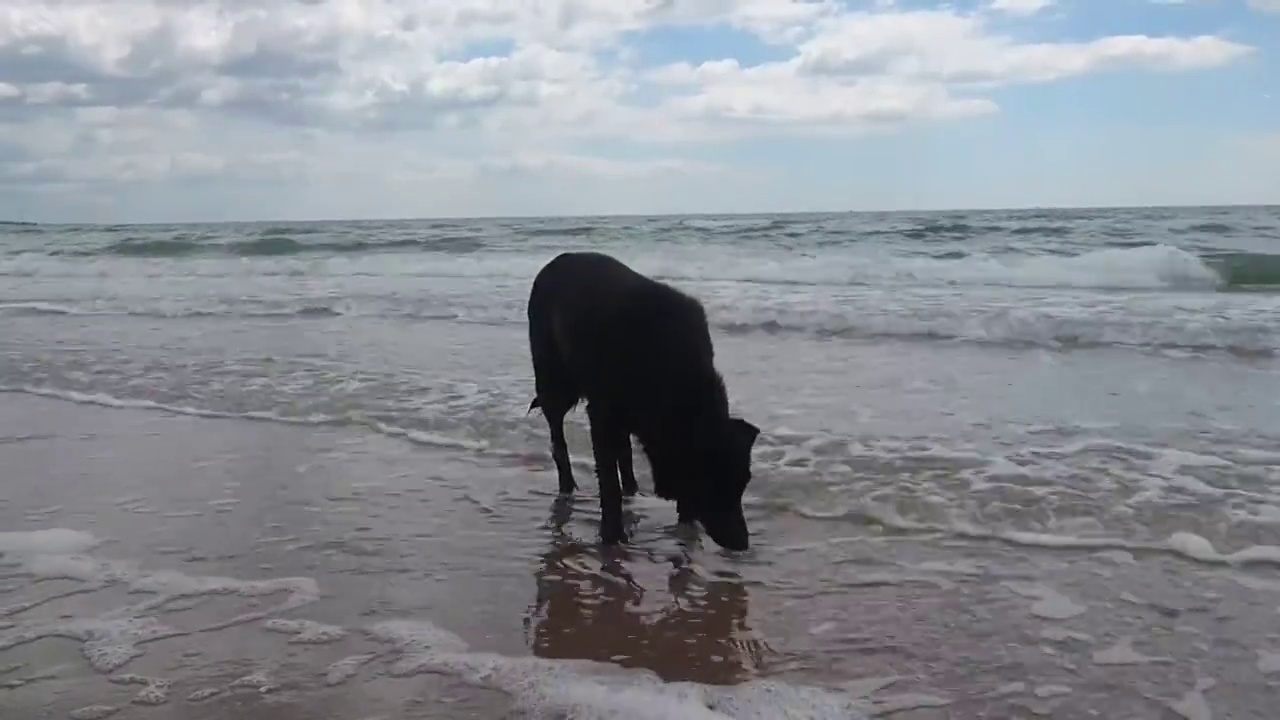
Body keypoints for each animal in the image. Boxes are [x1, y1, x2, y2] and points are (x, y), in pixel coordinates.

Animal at [527, 249, 757, 545]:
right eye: (713, 486)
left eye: (743, 483)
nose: (742, 544)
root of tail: (556, 261)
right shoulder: (601, 415)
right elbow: (609, 484)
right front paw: (612, 536)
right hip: (555, 385)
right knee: (559, 439)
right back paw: (568, 487)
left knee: (623, 449)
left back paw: (633, 490)